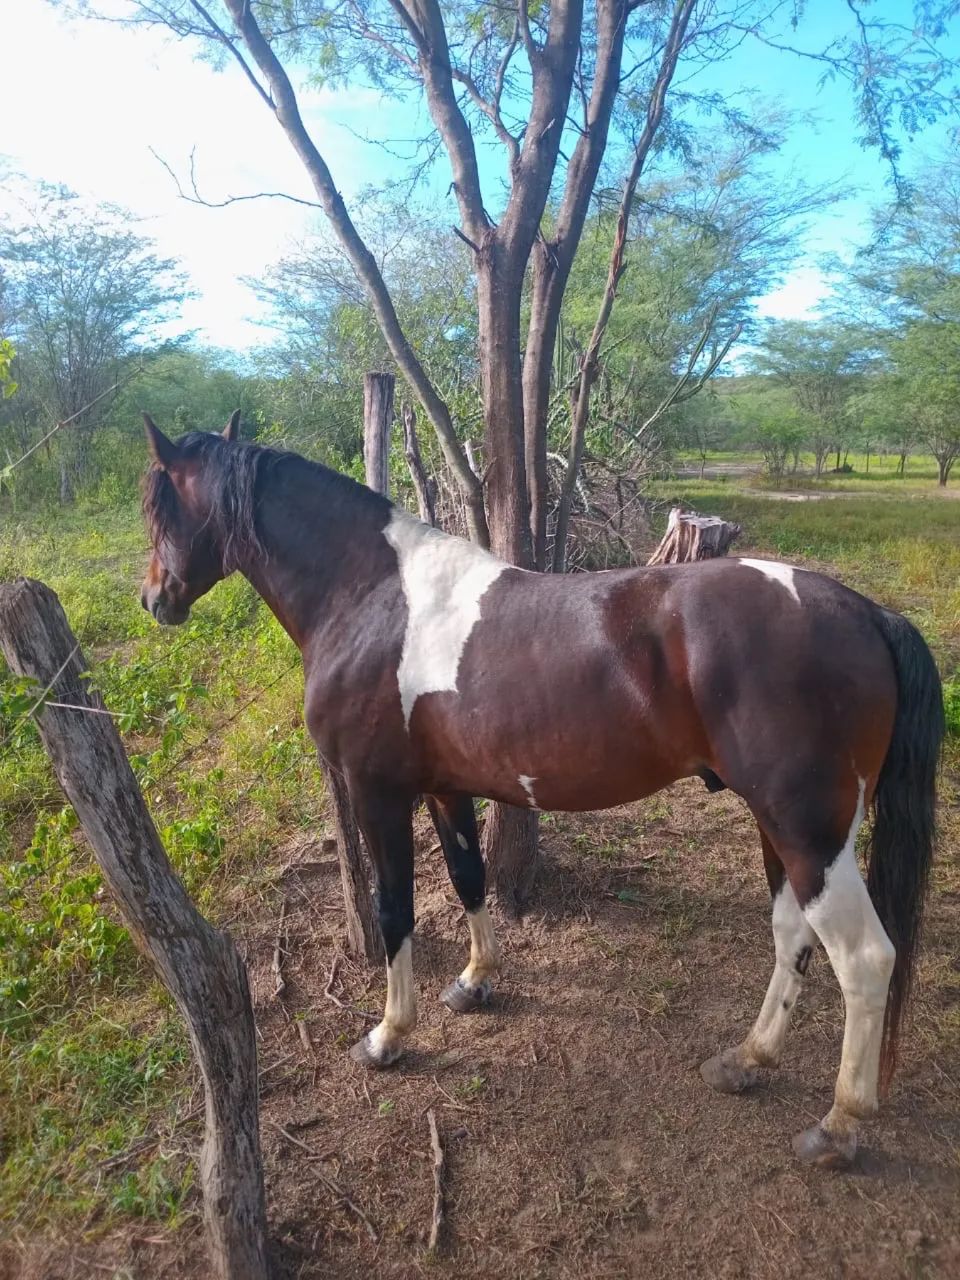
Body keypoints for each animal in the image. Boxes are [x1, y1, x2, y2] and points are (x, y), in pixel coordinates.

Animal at [139, 413, 943, 1169]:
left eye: (159, 506)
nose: (154, 599)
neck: (372, 596)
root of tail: (864, 612)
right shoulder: (445, 789)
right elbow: (468, 877)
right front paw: (474, 982)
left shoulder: (376, 792)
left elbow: (396, 909)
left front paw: (388, 1034)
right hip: (783, 829)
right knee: (792, 934)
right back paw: (748, 1059)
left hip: (809, 831)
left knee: (864, 958)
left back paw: (838, 1125)